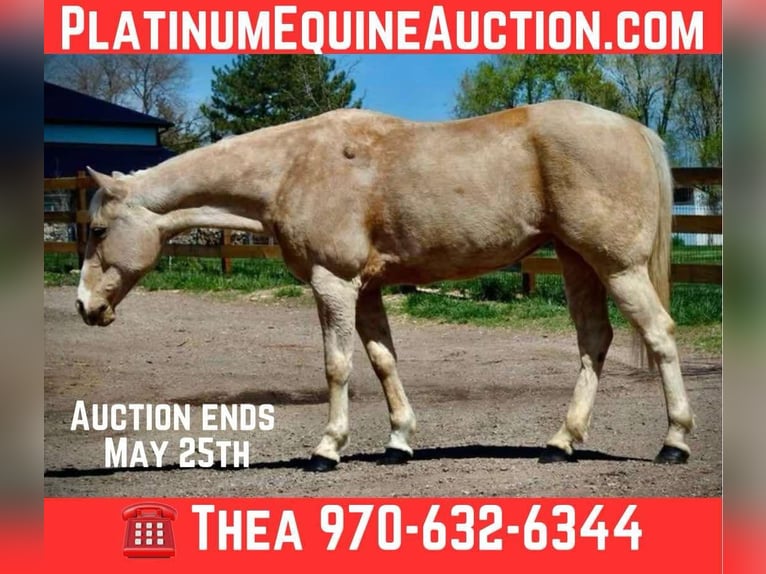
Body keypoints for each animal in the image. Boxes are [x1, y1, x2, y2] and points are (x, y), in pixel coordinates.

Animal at [75, 100, 695, 471]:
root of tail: (634, 128)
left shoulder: (333, 283)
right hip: (576, 261)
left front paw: (328, 448)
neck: (294, 166)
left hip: (616, 267)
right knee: (594, 342)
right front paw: (399, 441)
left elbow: (338, 366)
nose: (83, 306)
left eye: (99, 230)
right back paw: (561, 443)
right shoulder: (366, 288)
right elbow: (382, 361)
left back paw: (674, 442)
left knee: (661, 336)